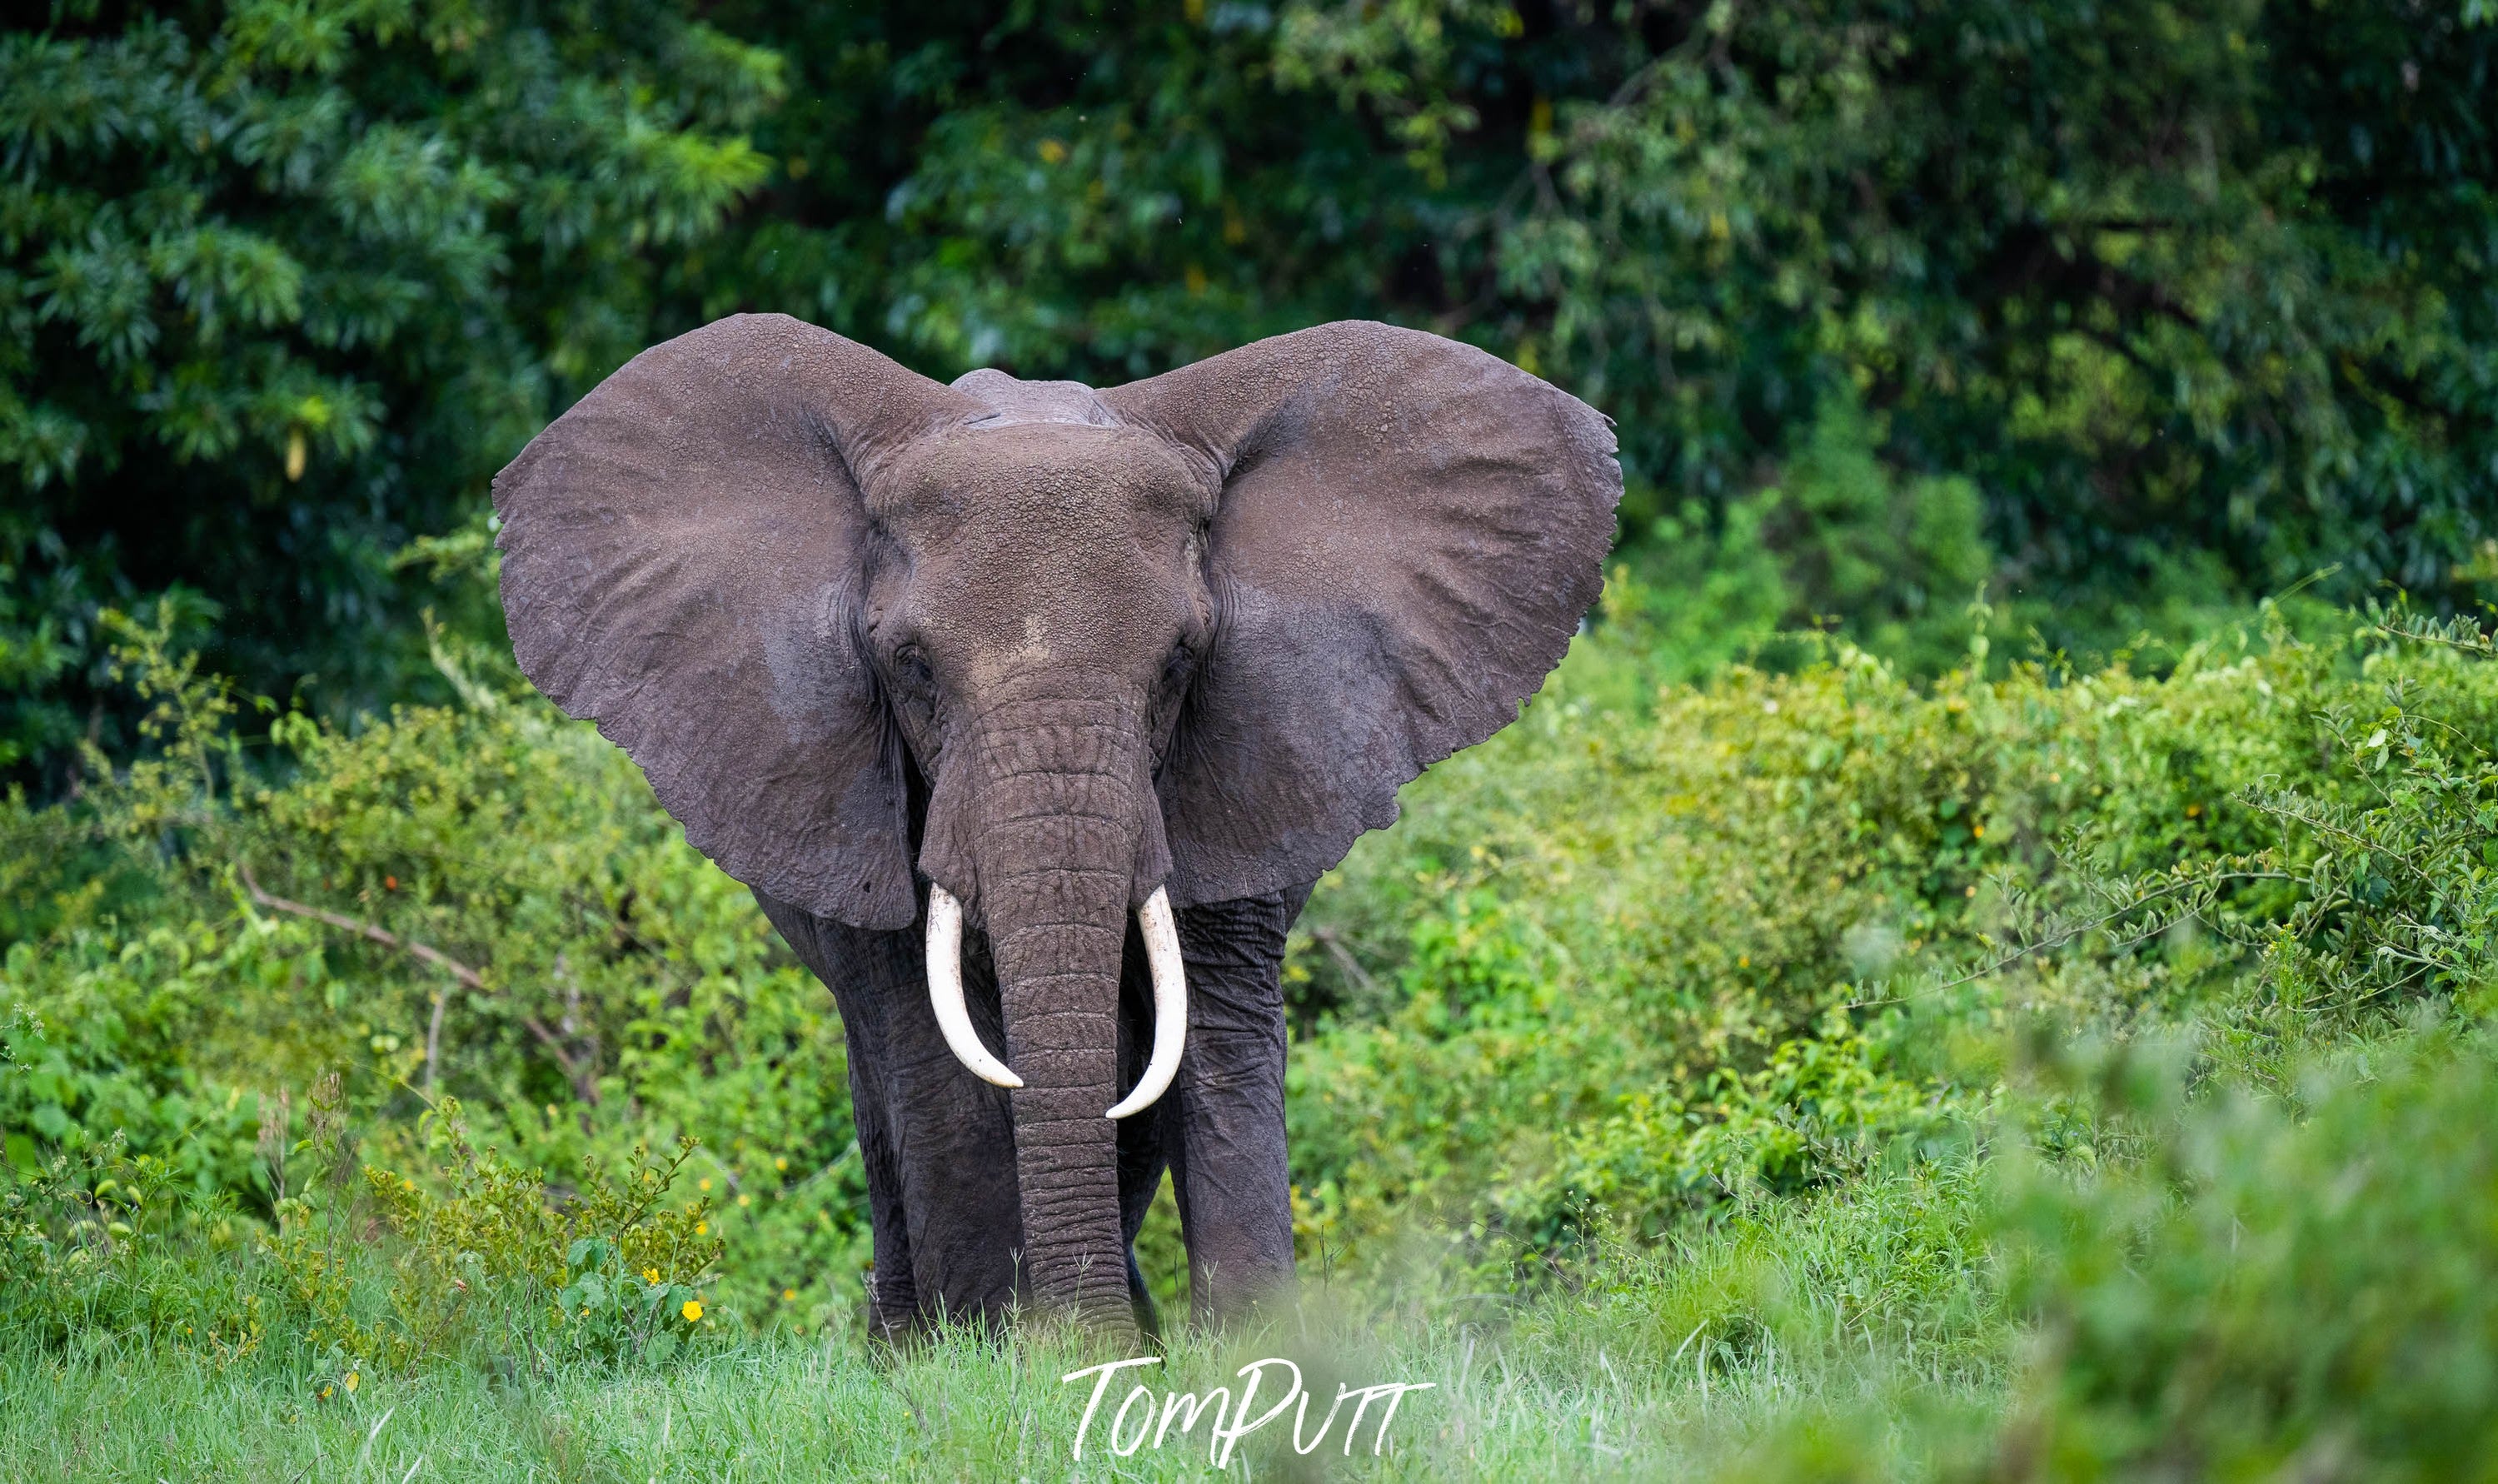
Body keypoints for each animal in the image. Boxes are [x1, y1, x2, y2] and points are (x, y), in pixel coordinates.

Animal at [486, 312, 1618, 1329]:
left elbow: (1207, 1034)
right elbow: (932, 1054)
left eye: (1179, 660)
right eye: (909, 665)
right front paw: (1010, 1359)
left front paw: (1239, 1361)